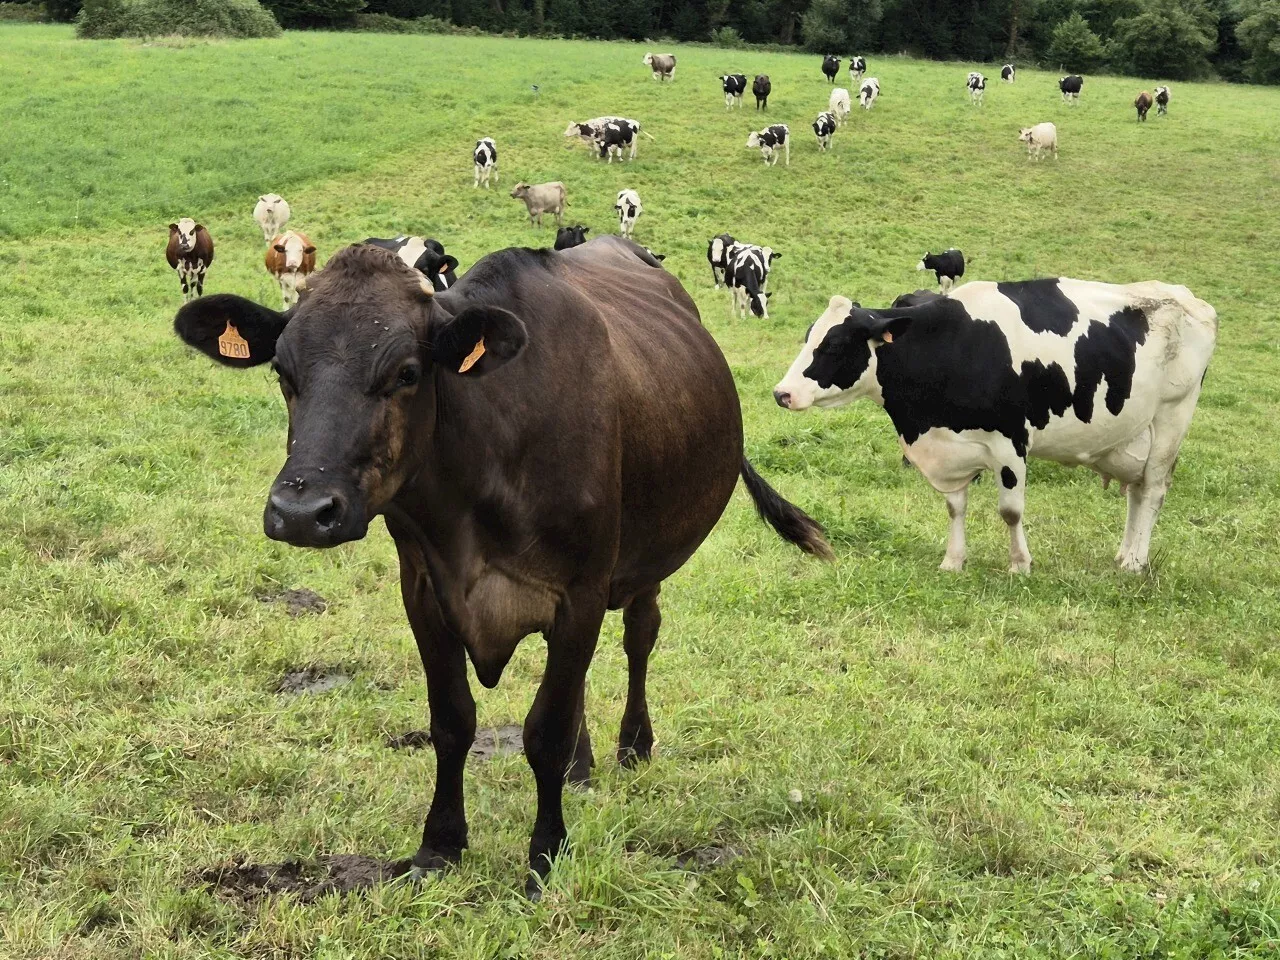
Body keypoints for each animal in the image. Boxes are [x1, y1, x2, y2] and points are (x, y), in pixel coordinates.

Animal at [167, 235, 829, 901]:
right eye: (283, 372)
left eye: (406, 373)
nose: (302, 512)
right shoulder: (423, 591)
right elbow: (453, 720)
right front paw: (439, 844)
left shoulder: (581, 592)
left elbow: (546, 730)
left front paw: (546, 854)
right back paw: (582, 767)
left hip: (648, 557)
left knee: (640, 636)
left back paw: (633, 745)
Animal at [773, 280, 1213, 578]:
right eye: (807, 336)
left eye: (833, 345)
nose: (782, 393)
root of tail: (1187, 297)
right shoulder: (951, 448)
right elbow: (955, 507)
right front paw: (953, 560)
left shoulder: (1011, 442)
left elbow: (1011, 511)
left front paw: (1020, 564)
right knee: (1136, 494)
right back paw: (1125, 555)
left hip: (1171, 420)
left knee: (1152, 492)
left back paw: (1135, 562)